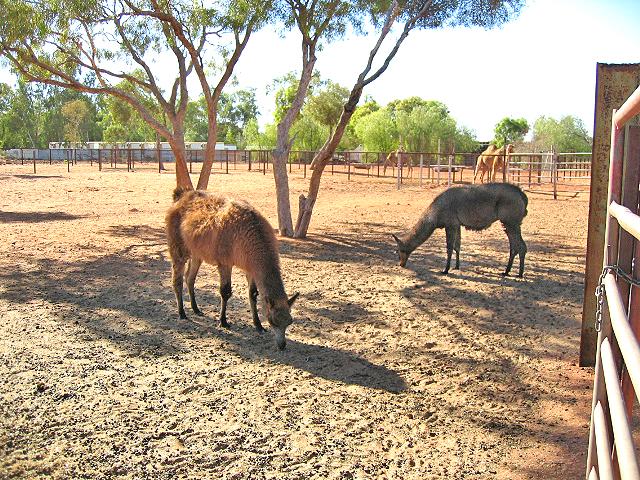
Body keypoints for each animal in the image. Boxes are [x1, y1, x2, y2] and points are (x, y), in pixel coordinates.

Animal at [162, 188, 298, 348]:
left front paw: (258, 325)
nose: (282, 345)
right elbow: (225, 292)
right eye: (273, 321)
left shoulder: (250, 268)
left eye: (289, 322)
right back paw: (182, 313)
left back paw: (196, 309)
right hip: (177, 247)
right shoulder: (225, 263)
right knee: (177, 280)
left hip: (196, 253)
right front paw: (223, 321)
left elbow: (253, 294)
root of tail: (181, 196)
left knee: (190, 278)